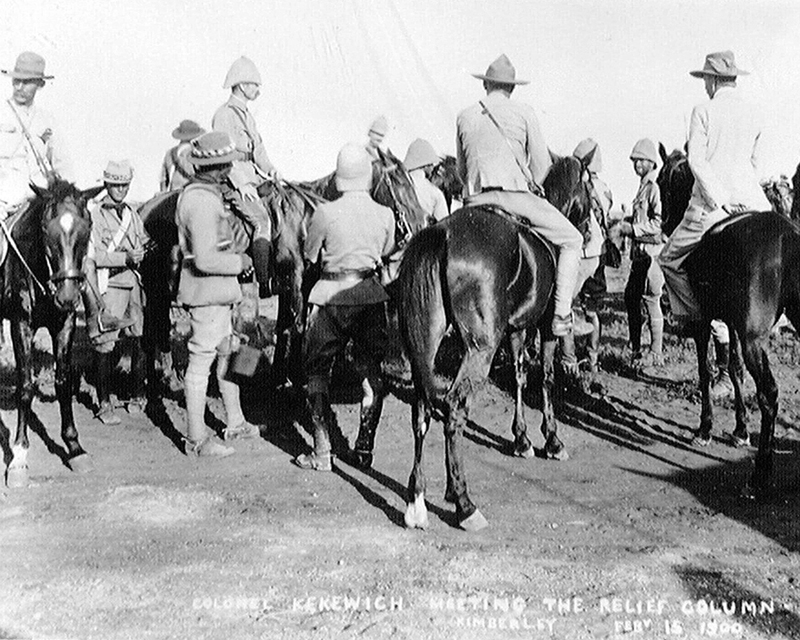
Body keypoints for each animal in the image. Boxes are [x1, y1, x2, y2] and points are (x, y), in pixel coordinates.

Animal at [0, 178, 104, 488]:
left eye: (87, 227)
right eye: (46, 229)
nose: (68, 295)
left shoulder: (65, 323)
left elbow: (63, 381)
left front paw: (75, 448)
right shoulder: (20, 324)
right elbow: (25, 386)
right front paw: (19, 457)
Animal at [398, 154, 592, 528]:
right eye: (591, 187)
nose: (591, 229)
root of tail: (442, 233)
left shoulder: (516, 330)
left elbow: (519, 376)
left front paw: (521, 438)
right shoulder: (545, 328)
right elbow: (546, 379)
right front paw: (552, 440)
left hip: (426, 345)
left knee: (421, 410)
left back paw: (416, 500)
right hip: (480, 348)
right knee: (454, 408)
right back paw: (463, 502)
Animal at [660, 149, 796, 496]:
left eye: (662, 181)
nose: (664, 221)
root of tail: (787, 234)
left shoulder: (703, 319)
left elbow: (705, 370)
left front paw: (705, 428)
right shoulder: (733, 322)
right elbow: (734, 369)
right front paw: (740, 429)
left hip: (753, 340)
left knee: (769, 394)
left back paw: (760, 474)